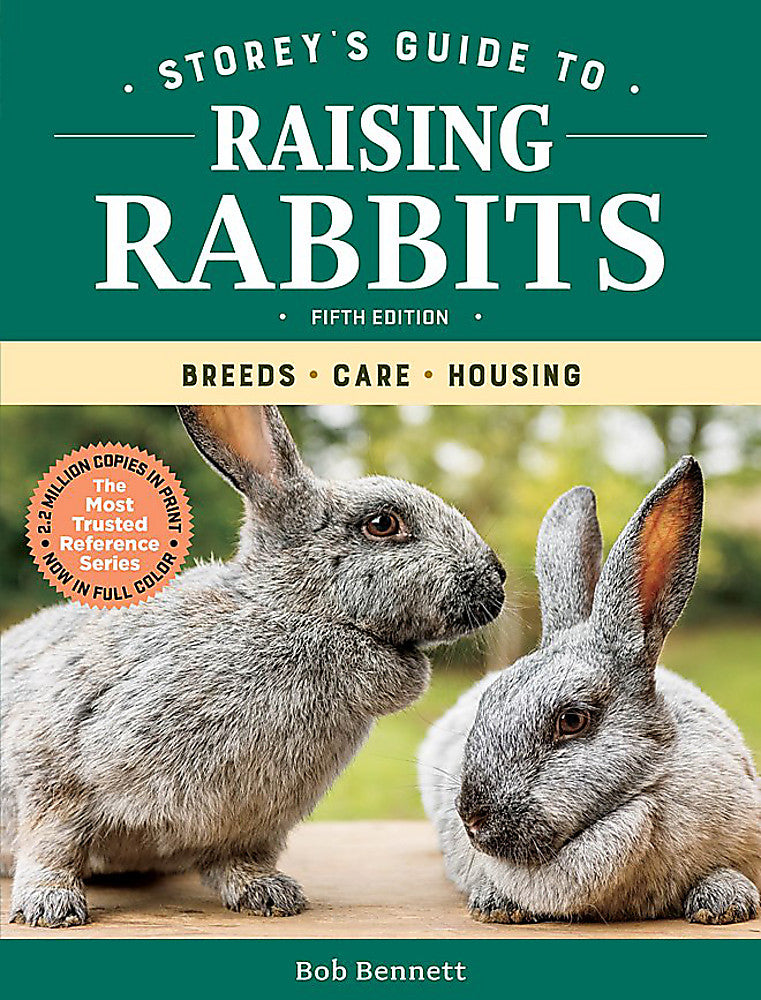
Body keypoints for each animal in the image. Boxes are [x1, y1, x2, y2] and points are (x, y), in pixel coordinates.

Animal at [1, 404, 506, 928]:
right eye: (383, 524)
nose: (498, 579)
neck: (293, 616)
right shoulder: (53, 757)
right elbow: (51, 844)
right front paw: (49, 905)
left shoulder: (253, 824)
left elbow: (240, 860)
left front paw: (267, 894)